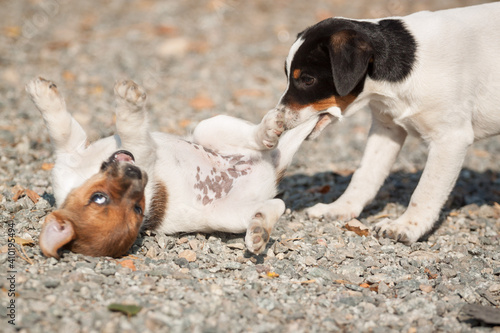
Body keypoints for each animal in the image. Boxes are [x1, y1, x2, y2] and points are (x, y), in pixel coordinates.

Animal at [26, 77, 320, 256]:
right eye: (100, 198)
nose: (137, 172)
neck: (85, 173)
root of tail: (270, 171)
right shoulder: (135, 151)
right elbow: (122, 127)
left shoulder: (72, 153)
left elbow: (61, 128)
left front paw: (42, 93)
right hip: (226, 216)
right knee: (276, 204)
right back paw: (260, 230)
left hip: (208, 129)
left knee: (257, 139)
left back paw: (268, 130)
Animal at [272, 3, 500, 244]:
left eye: (307, 79)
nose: (277, 119)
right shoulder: (387, 129)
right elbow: (364, 175)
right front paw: (339, 208)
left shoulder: (450, 139)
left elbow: (425, 190)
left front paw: (406, 226)